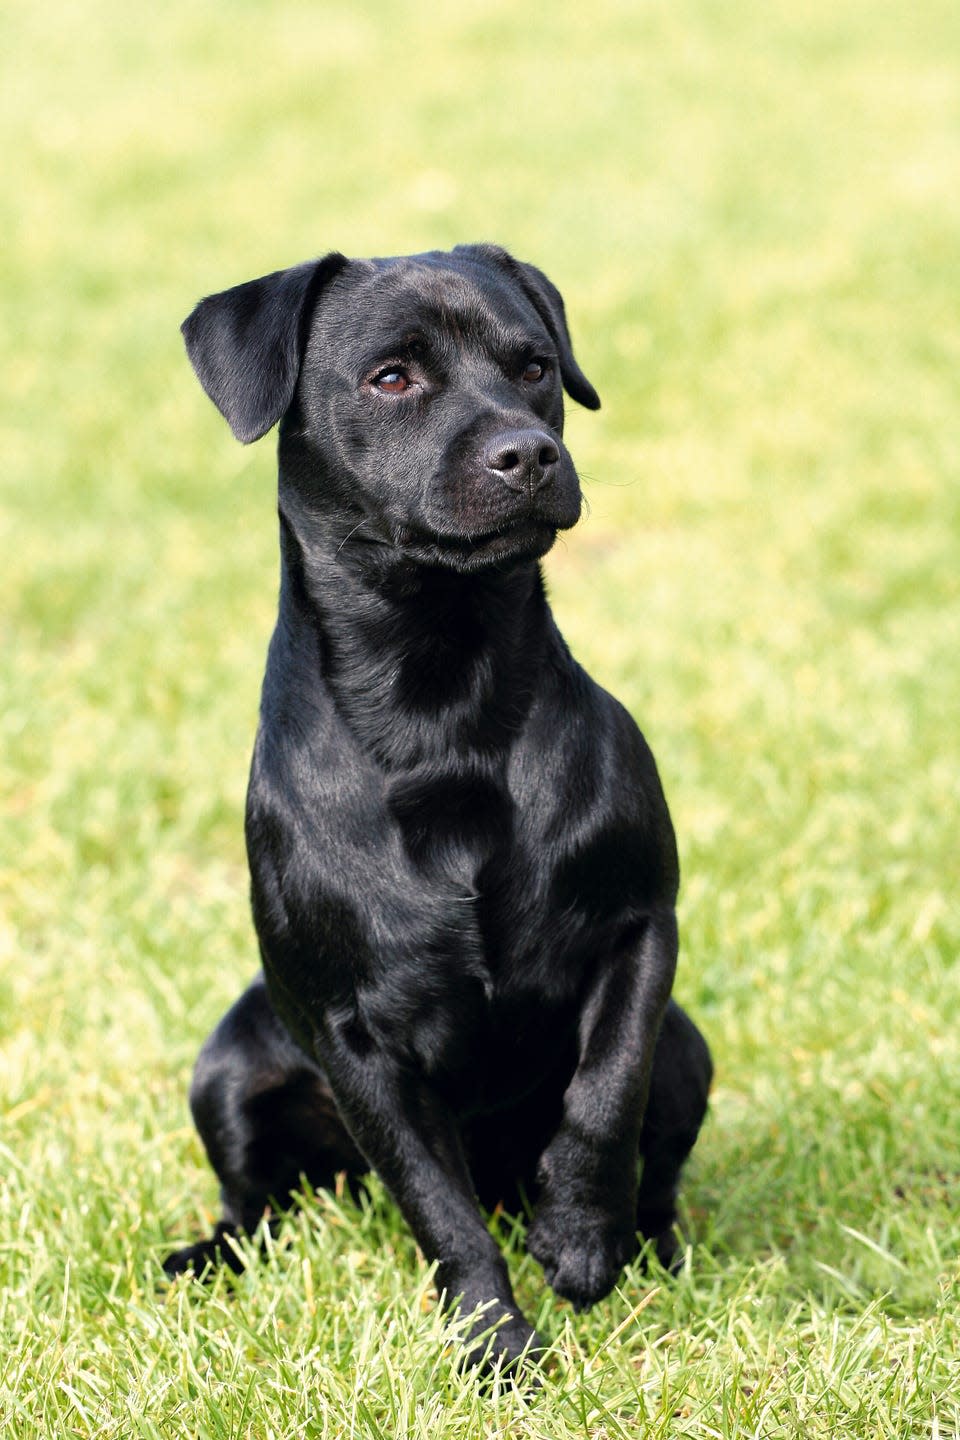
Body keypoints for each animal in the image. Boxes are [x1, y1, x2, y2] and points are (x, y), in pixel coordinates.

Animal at [165, 241, 711, 1365]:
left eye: (535, 364)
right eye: (391, 377)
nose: (527, 453)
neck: (442, 699)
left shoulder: (641, 931)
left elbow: (606, 1089)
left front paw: (580, 1239)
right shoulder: (352, 1038)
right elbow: (438, 1208)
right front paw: (497, 1351)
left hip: (691, 1045)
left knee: (659, 1155)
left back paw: (650, 1247)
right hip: (228, 1065)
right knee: (253, 1203)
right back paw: (207, 1259)